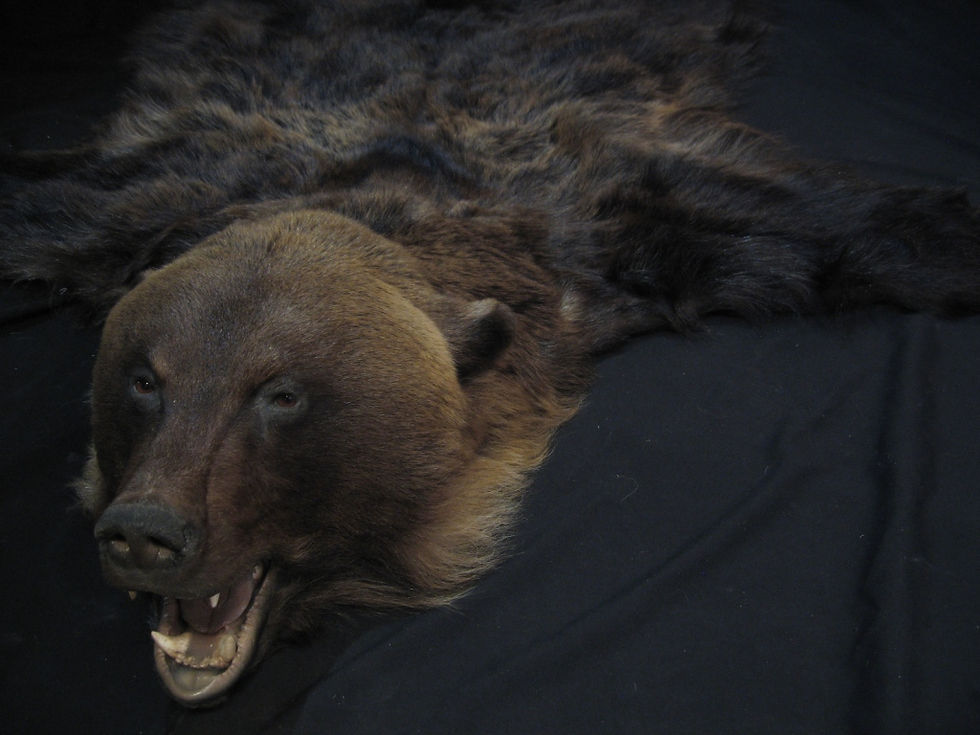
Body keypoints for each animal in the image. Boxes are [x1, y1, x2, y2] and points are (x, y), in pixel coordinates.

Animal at [1, 0, 977, 707]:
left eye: (278, 394)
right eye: (144, 380)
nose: (147, 530)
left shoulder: (616, 216)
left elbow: (850, 221)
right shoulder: (143, 196)